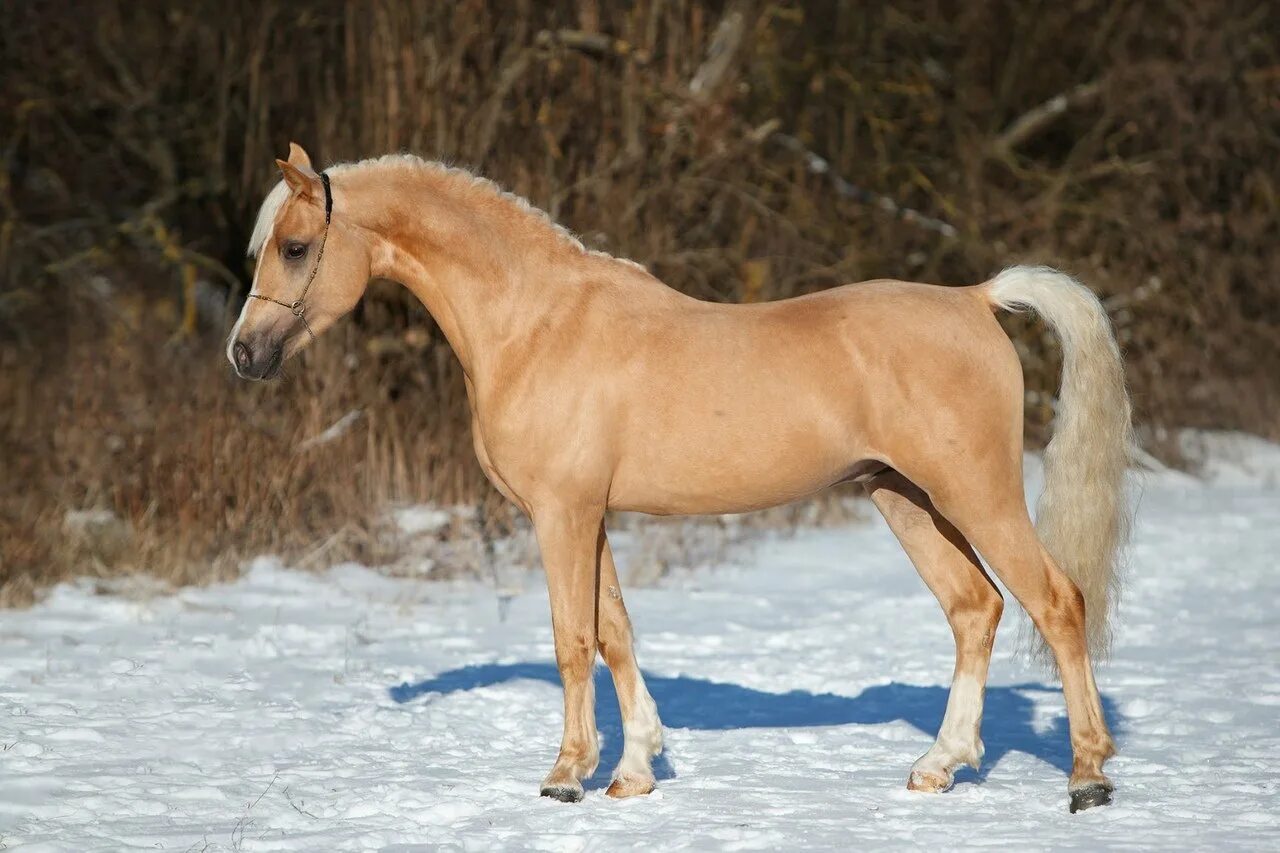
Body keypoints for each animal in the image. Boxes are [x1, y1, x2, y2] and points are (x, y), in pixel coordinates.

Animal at [227, 144, 1131, 809]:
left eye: (297, 247)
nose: (244, 354)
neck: (535, 321)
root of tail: (977, 299)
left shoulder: (561, 513)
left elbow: (572, 638)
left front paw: (567, 775)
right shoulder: (590, 515)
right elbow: (616, 633)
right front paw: (633, 771)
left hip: (975, 495)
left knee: (1056, 602)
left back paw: (1088, 775)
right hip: (903, 497)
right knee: (976, 609)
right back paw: (939, 765)